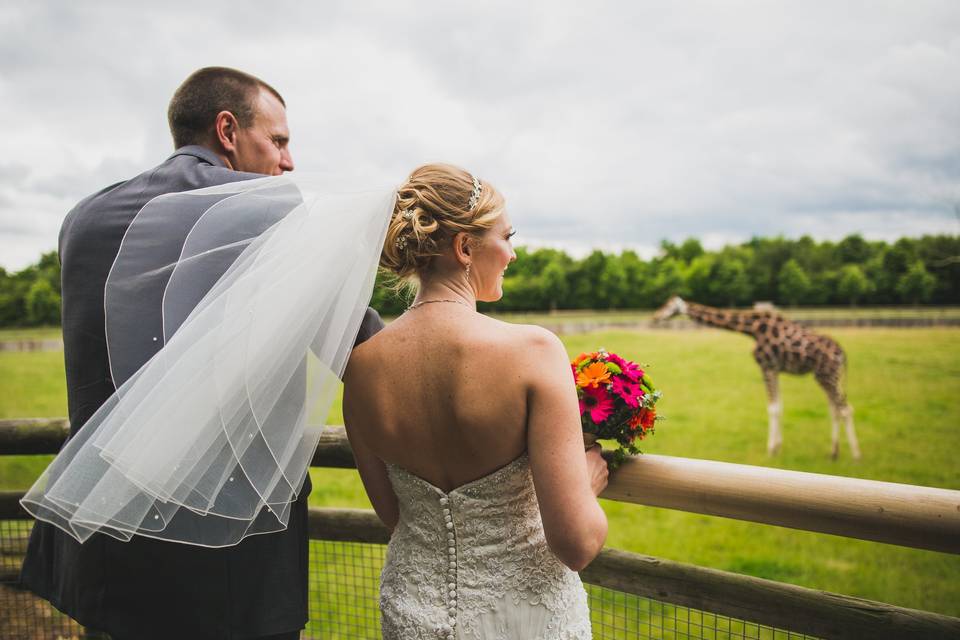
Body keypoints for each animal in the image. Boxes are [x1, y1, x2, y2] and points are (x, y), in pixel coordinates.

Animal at [652, 296, 864, 460]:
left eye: (669, 305)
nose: (655, 317)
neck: (752, 329)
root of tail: (842, 354)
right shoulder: (775, 369)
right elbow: (779, 406)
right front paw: (777, 447)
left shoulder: (767, 367)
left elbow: (773, 408)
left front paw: (771, 450)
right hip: (824, 376)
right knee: (835, 409)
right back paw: (834, 453)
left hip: (828, 375)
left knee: (846, 409)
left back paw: (856, 455)